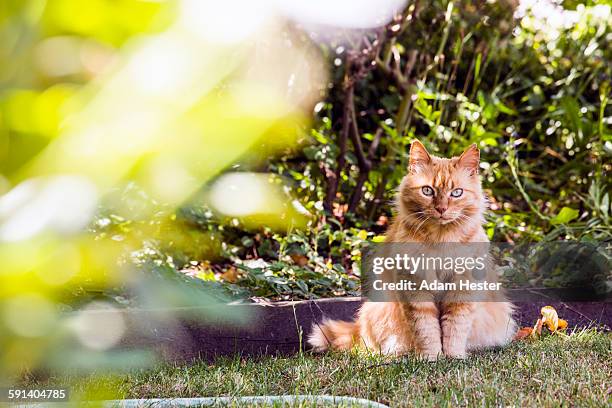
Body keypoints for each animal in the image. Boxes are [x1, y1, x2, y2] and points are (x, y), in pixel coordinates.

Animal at [308, 141, 512, 360]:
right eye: (427, 191)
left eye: (456, 193)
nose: (441, 209)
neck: (441, 241)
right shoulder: (415, 288)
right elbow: (426, 330)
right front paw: (431, 358)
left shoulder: (462, 289)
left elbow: (455, 329)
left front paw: (453, 357)